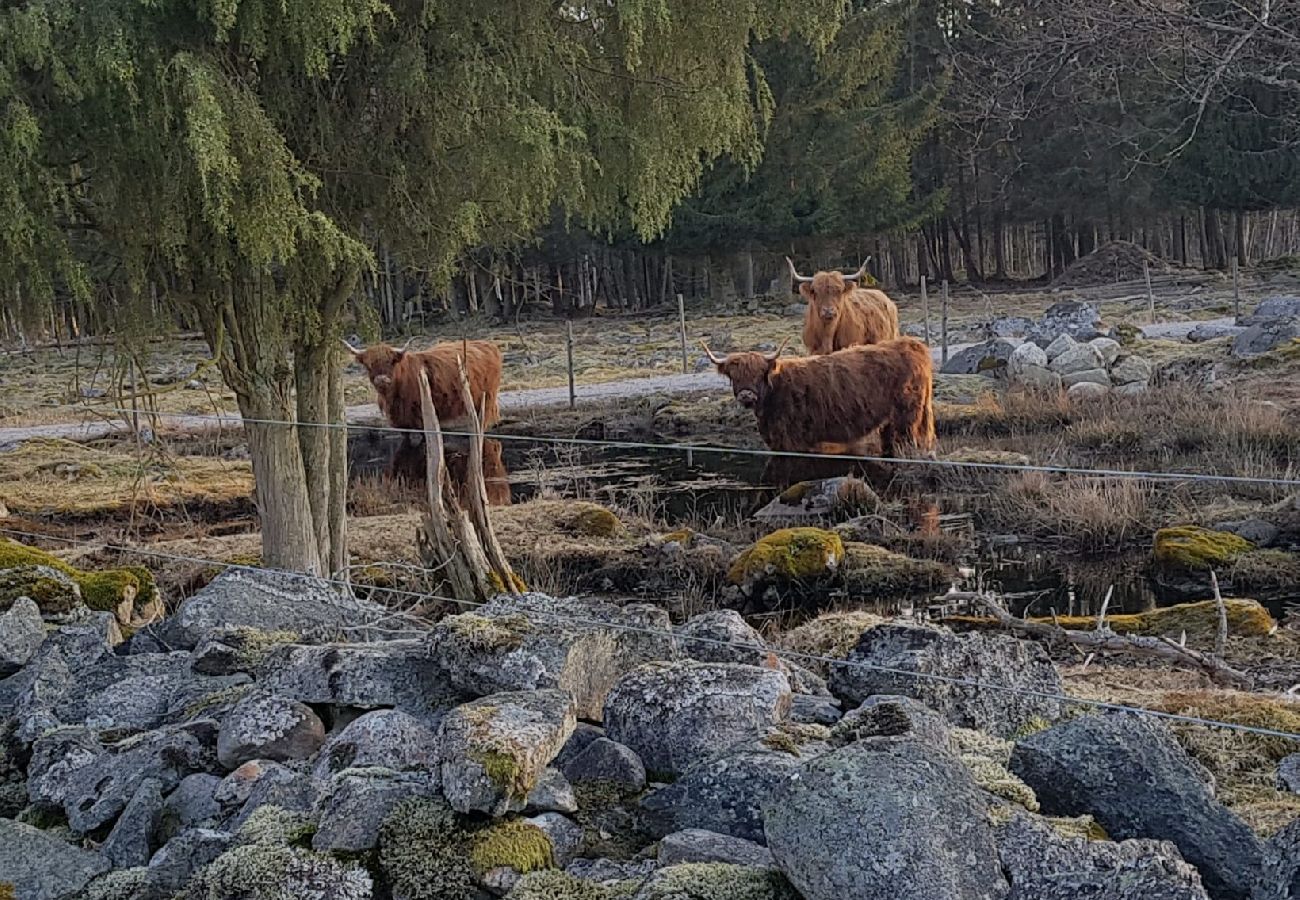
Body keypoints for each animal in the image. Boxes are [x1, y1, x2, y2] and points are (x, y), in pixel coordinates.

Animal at [340, 338, 501, 434]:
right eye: (368, 365)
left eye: (391, 362)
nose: (381, 379)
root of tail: (488, 345)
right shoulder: (402, 422)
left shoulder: (419, 419)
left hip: (486, 401)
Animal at [702, 335, 935, 457]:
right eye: (734, 376)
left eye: (760, 374)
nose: (746, 395)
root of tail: (912, 344)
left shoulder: (792, 441)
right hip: (889, 420)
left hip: (908, 415)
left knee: (908, 439)